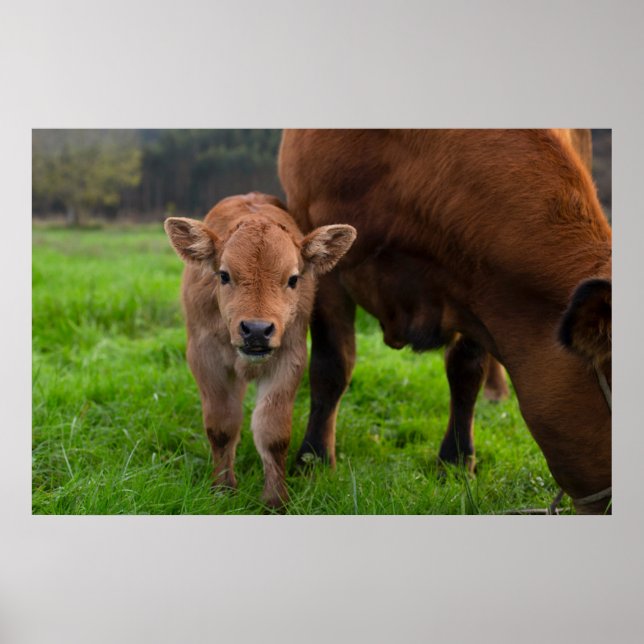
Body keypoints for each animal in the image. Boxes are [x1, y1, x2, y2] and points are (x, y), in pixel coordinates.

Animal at [164, 193, 356, 509]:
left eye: (293, 279)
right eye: (224, 275)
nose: (255, 329)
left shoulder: (289, 358)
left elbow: (273, 432)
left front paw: (276, 501)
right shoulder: (205, 358)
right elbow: (221, 426)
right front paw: (222, 490)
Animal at [278, 129, 611, 514]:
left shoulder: (477, 287)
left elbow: (466, 372)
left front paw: (456, 461)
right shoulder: (320, 251)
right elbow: (331, 366)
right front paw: (312, 462)